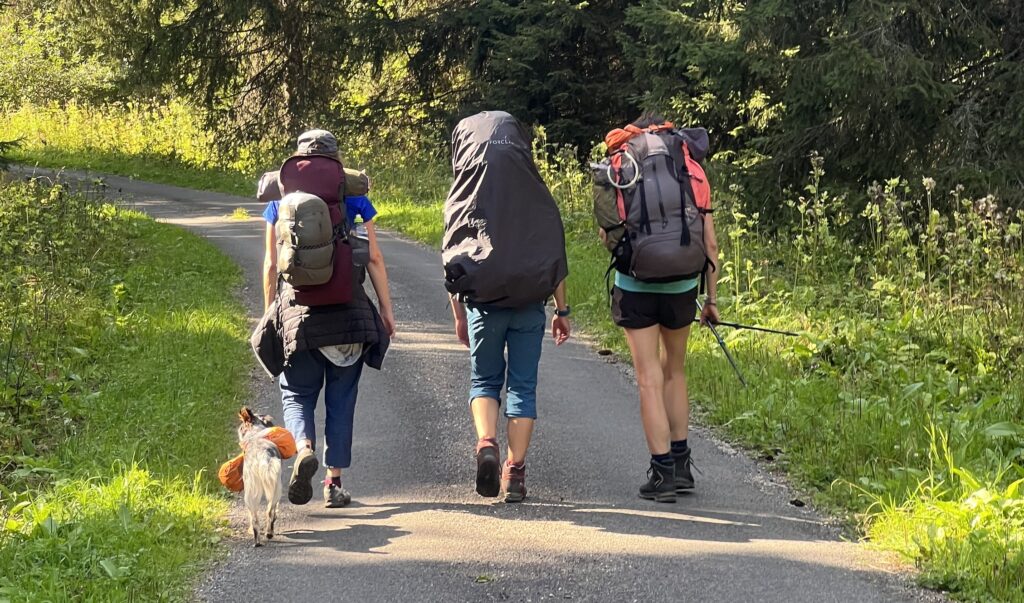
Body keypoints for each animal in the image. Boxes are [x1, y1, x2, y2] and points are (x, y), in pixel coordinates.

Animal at [236, 405, 282, 544]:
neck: (254, 435)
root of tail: (261, 456)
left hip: (250, 490)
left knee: (254, 517)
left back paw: (257, 540)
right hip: (275, 488)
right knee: (269, 511)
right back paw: (269, 533)